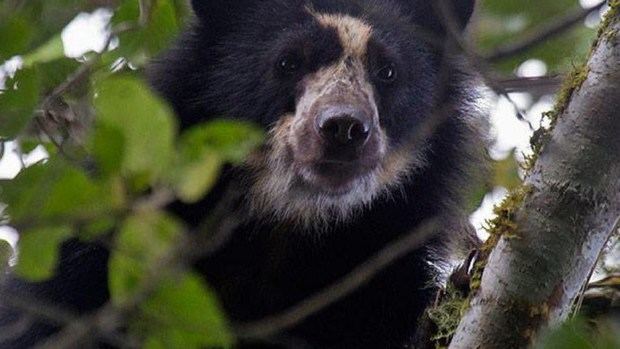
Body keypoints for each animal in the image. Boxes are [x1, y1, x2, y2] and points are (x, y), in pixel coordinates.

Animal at [0, 0, 486, 348]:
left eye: (388, 72)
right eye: (287, 62)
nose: (344, 128)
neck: (287, 227)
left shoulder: (381, 280)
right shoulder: (91, 262)